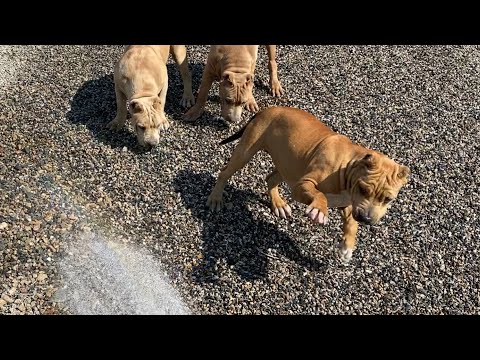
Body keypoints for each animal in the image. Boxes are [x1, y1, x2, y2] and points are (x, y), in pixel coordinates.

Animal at [206, 106, 408, 262]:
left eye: (388, 199)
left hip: (287, 165)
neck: (349, 163)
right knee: (225, 173)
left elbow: (352, 223)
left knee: (271, 178)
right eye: (363, 189)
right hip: (247, 151)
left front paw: (346, 247)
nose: (366, 218)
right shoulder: (304, 184)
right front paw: (319, 210)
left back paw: (278, 204)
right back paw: (215, 199)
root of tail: (267, 109)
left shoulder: (348, 202)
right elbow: (319, 195)